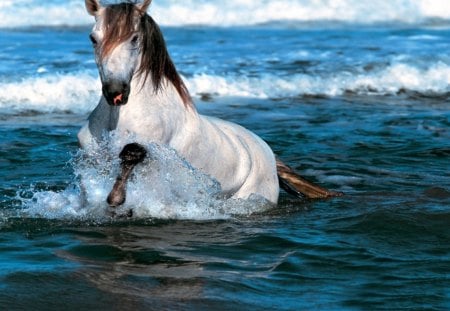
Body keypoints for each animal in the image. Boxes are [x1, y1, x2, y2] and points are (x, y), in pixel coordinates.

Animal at [78, 0, 342, 210]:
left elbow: (132, 154)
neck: (118, 117)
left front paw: (116, 199)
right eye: (93, 38)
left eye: (134, 38)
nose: (115, 92)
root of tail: (267, 152)